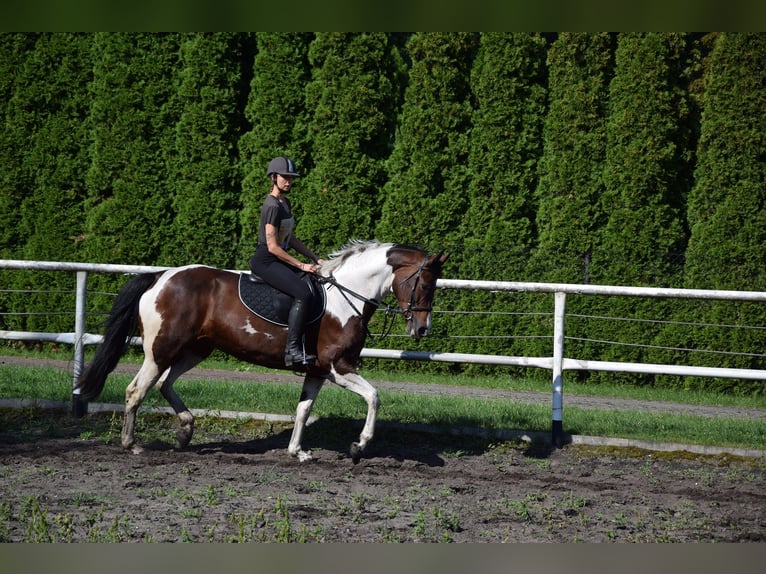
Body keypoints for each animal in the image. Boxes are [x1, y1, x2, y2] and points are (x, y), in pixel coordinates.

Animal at [74, 240, 447, 463]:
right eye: (425, 284)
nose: (422, 329)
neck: (347, 296)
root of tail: (160, 277)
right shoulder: (338, 367)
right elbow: (374, 397)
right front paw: (359, 446)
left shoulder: (316, 370)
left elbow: (303, 410)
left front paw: (298, 452)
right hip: (160, 351)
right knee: (136, 390)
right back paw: (132, 444)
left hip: (196, 349)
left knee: (165, 384)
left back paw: (185, 432)